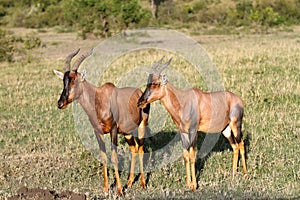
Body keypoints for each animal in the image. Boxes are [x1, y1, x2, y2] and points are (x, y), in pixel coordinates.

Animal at [53, 48, 150, 195]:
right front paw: (105, 188)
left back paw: (143, 184)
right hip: (127, 132)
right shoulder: (97, 131)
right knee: (134, 148)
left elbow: (114, 157)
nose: (61, 103)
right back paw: (129, 182)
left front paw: (119, 190)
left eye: (74, 80)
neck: (100, 99)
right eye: (63, 81)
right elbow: (103, 157)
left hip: (141, 125)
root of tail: (139, 91)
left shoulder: (113, 130)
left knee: (141, 149)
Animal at [137, 57, 247, 191]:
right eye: (147, 83)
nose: (140, 102)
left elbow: (193, 155)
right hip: (225, 130)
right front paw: (188, 183)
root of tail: (239, 100)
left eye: (155, 84)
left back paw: (245, 174)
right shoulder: (183, 132)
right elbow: (186, 156)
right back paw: (233, 174)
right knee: (235, 146)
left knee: (241, 144)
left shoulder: (194, 131)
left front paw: (194, 185)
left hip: (236, 124)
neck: (183, 101)